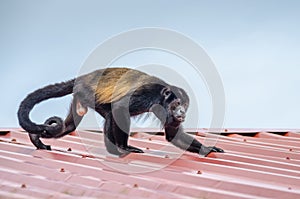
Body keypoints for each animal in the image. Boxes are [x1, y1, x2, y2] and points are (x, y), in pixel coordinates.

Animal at [16, 67, 223, 156]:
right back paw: (119, 148)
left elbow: (173, 135)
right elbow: (121, 107)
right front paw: (126, 147)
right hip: (88, 92)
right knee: (113, 113)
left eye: (185, 105)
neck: (162, 97)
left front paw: (207, 148)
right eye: (177, 103)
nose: (182, 112)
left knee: (69, 126)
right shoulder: (147, 95)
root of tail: (82, 78)